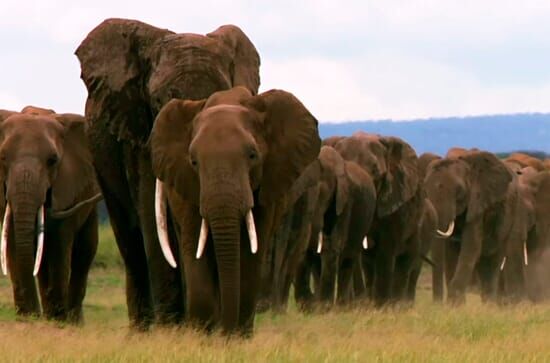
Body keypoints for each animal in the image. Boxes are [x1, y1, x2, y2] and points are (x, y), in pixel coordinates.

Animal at [0, 106, 101, 322]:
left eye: (52, 161)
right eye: (2, 158)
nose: (34, 315)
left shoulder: (68, 185)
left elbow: (60, 244)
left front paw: (58, 319)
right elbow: (13, 240)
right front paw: (28, 317)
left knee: (85, 250)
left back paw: (72, 320)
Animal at [76, 18, 264, 330]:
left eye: (220, 96)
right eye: (158, 100)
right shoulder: (140, 133)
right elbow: (153, 219)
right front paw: (172, 328)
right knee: (131, 240)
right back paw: (143, 330)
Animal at [149, 86, 322, 336]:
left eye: (252, 155)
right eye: (193, 162)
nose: (226, 332)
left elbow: (250, 258)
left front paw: (236, 337)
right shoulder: (189, 187)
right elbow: (196, 249)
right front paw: (203, 337)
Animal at [332, 132, 432, 306]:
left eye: (375, 170)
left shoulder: (395, 202)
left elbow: (386, 252)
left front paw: (381, 307)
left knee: (404, 262)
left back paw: (398, 305)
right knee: (369, 264)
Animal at [426, 149, 520, 306]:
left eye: (459, 192)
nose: (436, 305)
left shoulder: (478, 204)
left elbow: (471, 247)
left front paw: (455, 303)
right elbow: (451, 252)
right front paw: (455, 306)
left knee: (493, 260)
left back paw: (489, 306)